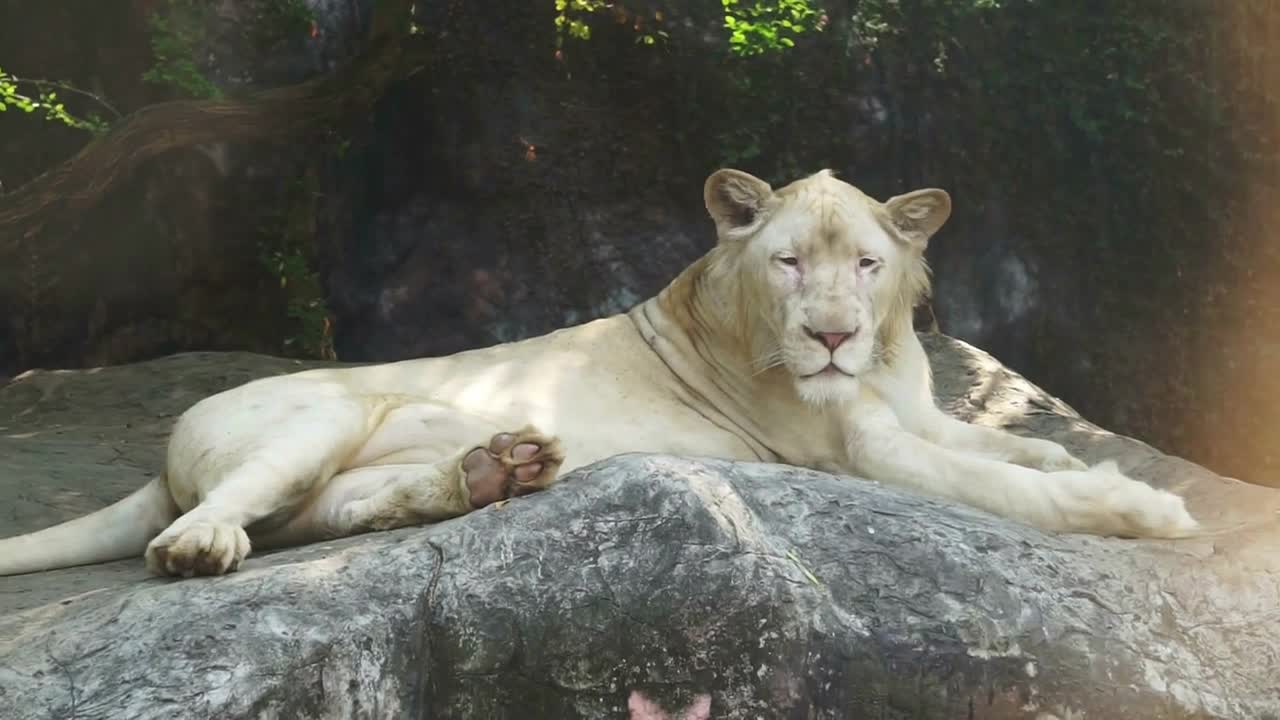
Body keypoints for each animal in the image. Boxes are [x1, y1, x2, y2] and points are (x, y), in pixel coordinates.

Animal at [0, 167, 1198, 576]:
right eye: (787, 261)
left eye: (866, 261)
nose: (829, 337)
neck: (877, 366)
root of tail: (165, 456)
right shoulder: (854, 448)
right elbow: (999, 482)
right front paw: (1140, 508)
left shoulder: (906, 407)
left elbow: (1000, 442)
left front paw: (1063, 451)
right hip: (310, 420)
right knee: (224, 515)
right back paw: (199, 547)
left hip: (343, 474)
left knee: (325, 516)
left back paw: (496, 468)